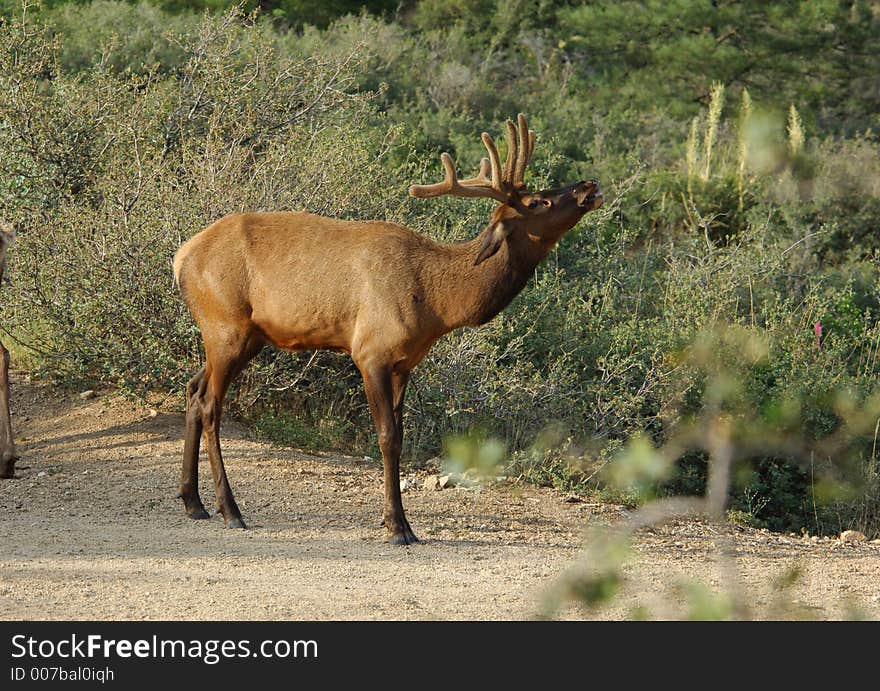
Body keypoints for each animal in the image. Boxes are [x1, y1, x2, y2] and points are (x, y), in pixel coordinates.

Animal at [175, 115, 600, 548]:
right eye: (536, 202)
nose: (589, 186)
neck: (437, 302)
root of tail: (180, 257)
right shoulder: (370, 352)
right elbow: (386, 436)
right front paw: (398, 526)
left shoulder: (404, 362)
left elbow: (400, 434)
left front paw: (393, 520)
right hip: (226, 325)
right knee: (210, 404)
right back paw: (230, 510)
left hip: (245, 337)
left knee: (193, 388)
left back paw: (193, 502)